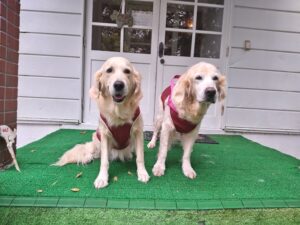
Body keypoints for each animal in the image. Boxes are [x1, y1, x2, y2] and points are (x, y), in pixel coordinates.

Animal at [54, 56, 150, 188]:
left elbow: (140, 157)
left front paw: (142, 173)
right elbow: (104, 161)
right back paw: (87, 158)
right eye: (109, 70)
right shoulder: (104, 135)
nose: (119, 85)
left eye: (127, 71)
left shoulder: (138, 132)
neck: (118, 112)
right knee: (93, 153)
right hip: (97, 139)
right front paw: (102, 178)